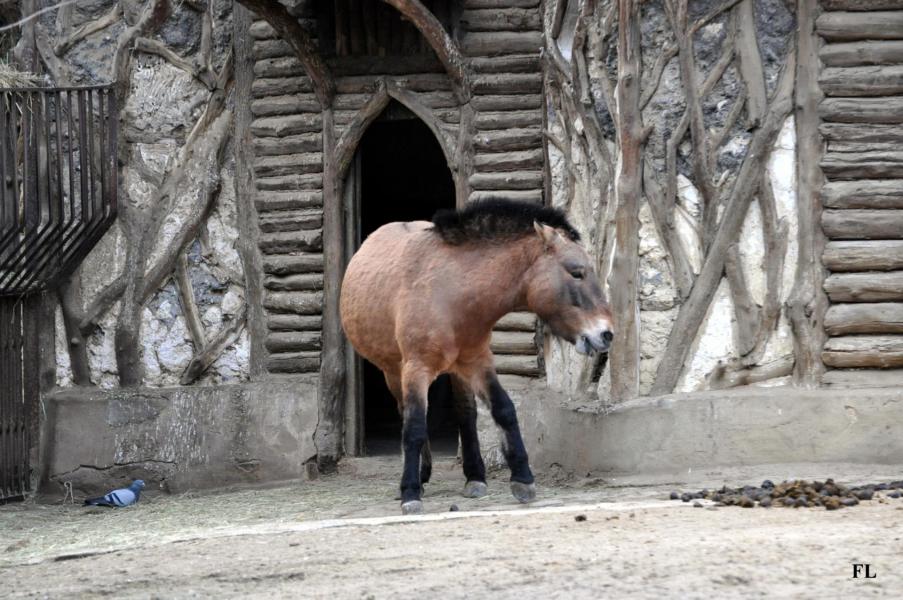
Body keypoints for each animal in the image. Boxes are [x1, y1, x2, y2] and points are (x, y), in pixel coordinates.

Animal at [340, 199, 616, 512]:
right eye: (576, 272)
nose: (606, 334)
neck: (450, 293)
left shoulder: (478, 363)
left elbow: (504, 410)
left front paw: (523, 479)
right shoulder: (416, 370)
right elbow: (414, 426)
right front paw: (410, 492)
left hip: (455, 372)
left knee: (465, 413)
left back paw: (474, 476)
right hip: (394, 372)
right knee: (407, 414)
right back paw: (420, 476)